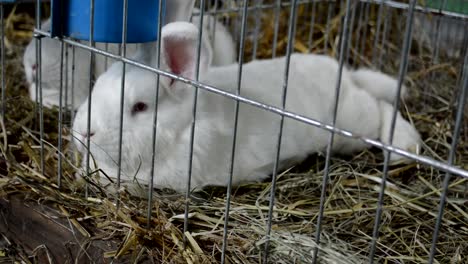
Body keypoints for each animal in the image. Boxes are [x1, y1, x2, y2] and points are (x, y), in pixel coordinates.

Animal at [72, 21, 420, 193]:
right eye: (97, 86)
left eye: (140, 107)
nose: (83, 132)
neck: (182, 129)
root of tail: (344, 75)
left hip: (352, 127)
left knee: (381, 109)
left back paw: (407, 145)